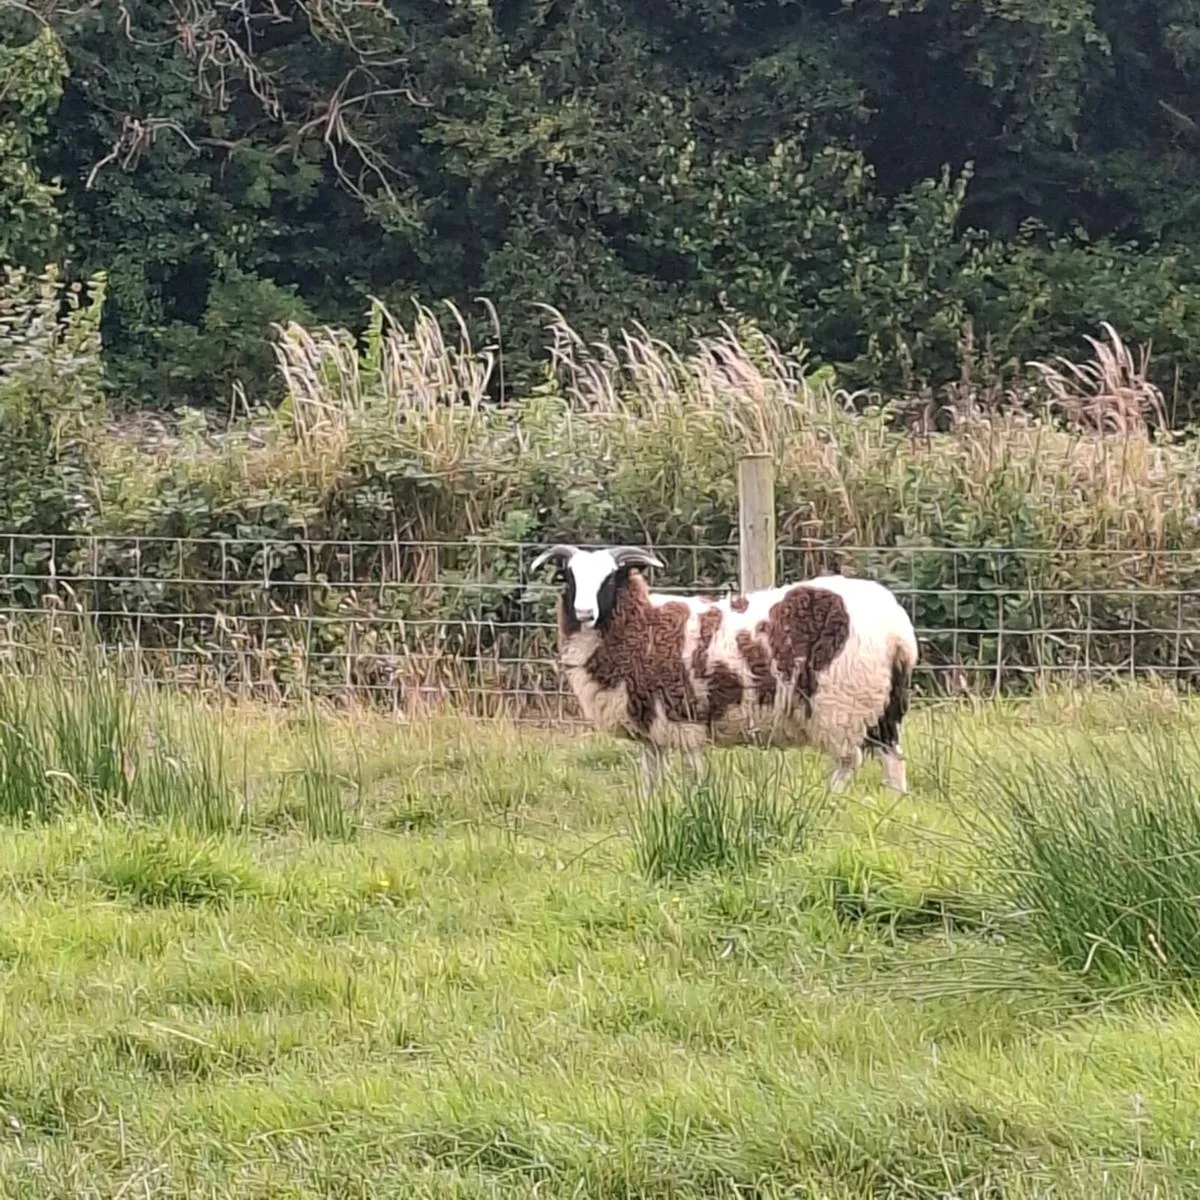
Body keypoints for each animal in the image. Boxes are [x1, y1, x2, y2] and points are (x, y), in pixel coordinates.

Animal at [529, 543, 919, 794]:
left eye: (610, 579)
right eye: (569, 577)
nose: (584, 613)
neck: (643, 624)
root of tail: (897, 628)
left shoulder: (684, 720)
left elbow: (694, 773)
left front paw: (696, 806)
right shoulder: (650, 726)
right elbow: (651, 777)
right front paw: (653, 810)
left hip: (842, 701)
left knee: (849, 759)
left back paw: (830, 799)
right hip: (882, 701)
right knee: (893, 754)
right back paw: (893, 802)